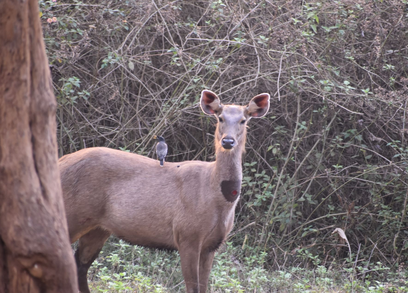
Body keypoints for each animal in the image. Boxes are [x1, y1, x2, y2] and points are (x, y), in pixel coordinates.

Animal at [59, 90, 270, 290]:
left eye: (243, 120)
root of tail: (60, 161)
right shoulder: (187, 235)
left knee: (80, 265)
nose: (227, 141)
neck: (216, 198)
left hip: (98, 227)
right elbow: (192, 287)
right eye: (220, 118)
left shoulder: (212, 245)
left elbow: (204, 286)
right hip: (72, 213)